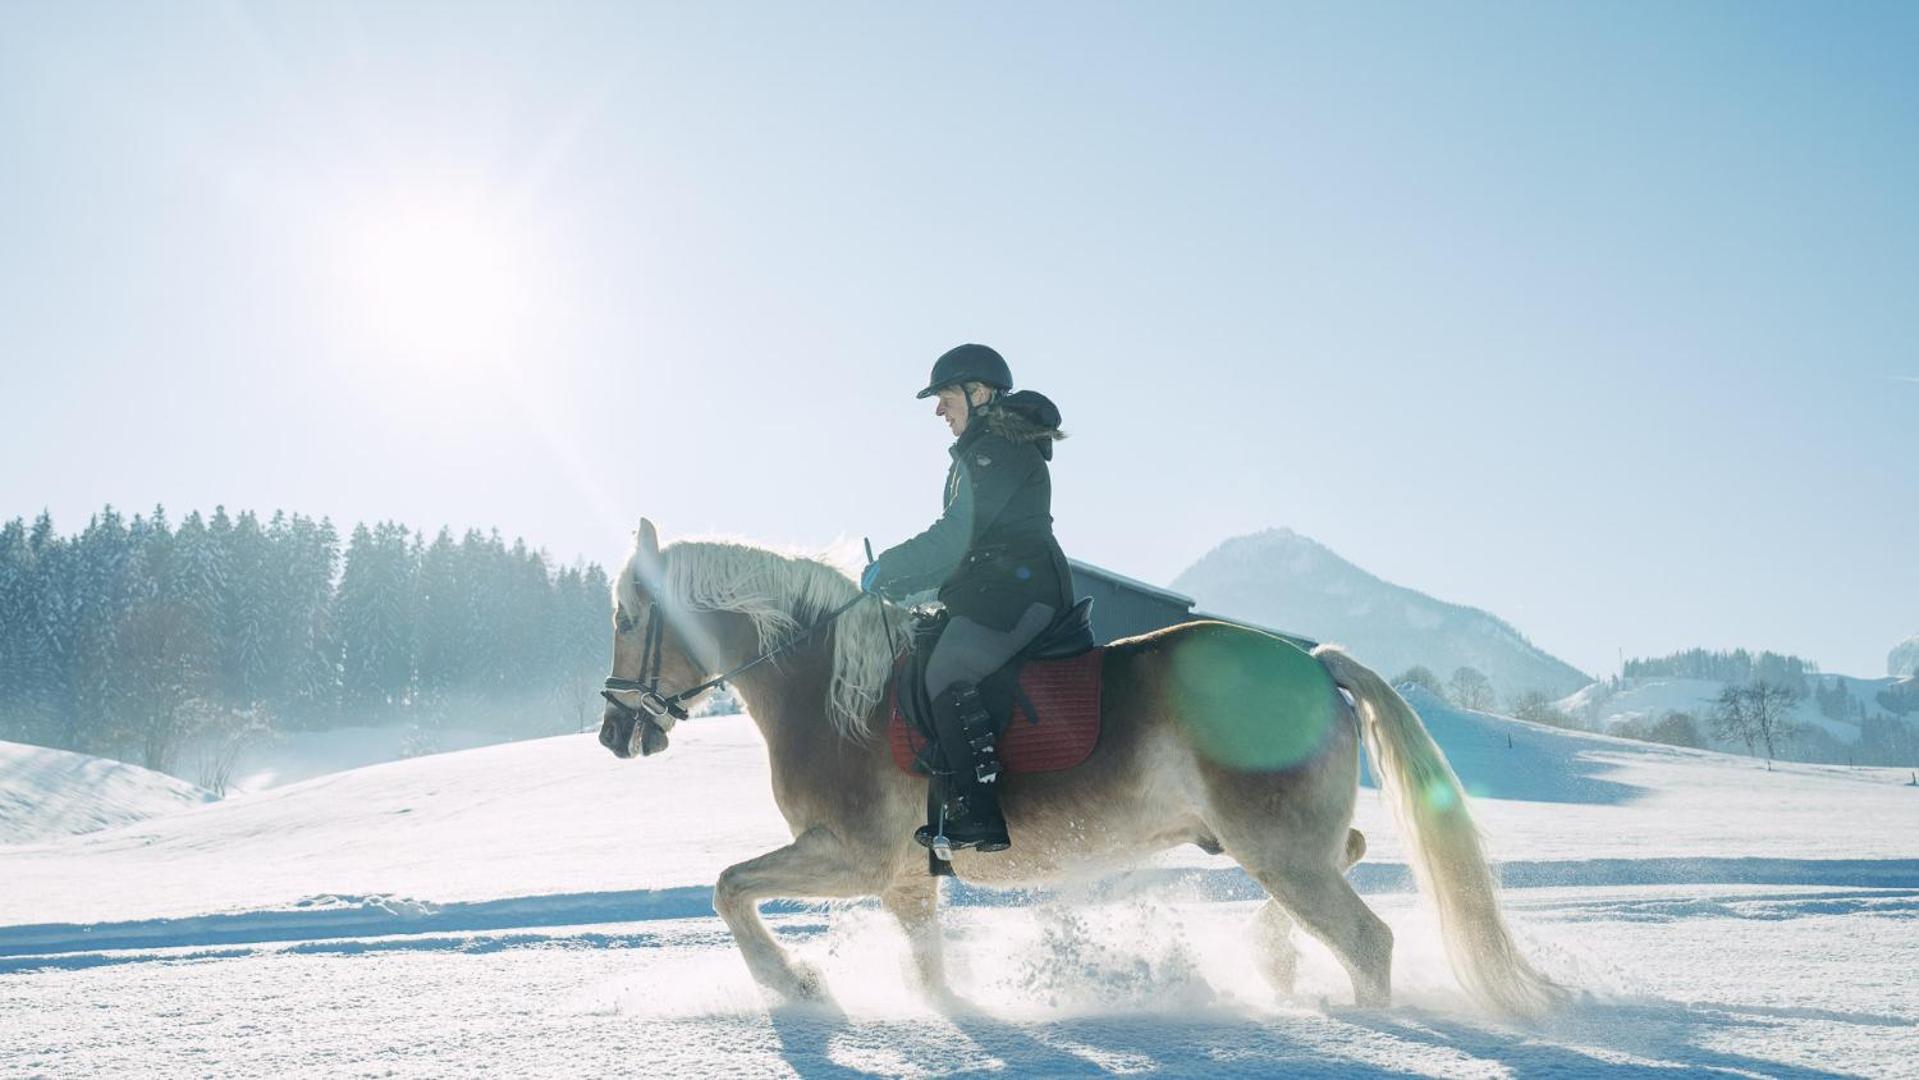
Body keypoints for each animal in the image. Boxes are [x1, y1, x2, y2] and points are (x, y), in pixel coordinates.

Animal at [602, 517, 1573, 1020]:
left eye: (625, 615)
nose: (615, 734)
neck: (833, 688)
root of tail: (1312, 662)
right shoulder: (905, 881)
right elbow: (928, 971)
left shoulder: (854, 856)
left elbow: (728, 886)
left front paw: (795, 983)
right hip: (1277, 843)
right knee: (1353, 855)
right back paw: (1270, 959)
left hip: (1277, 847)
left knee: (1367, 941)